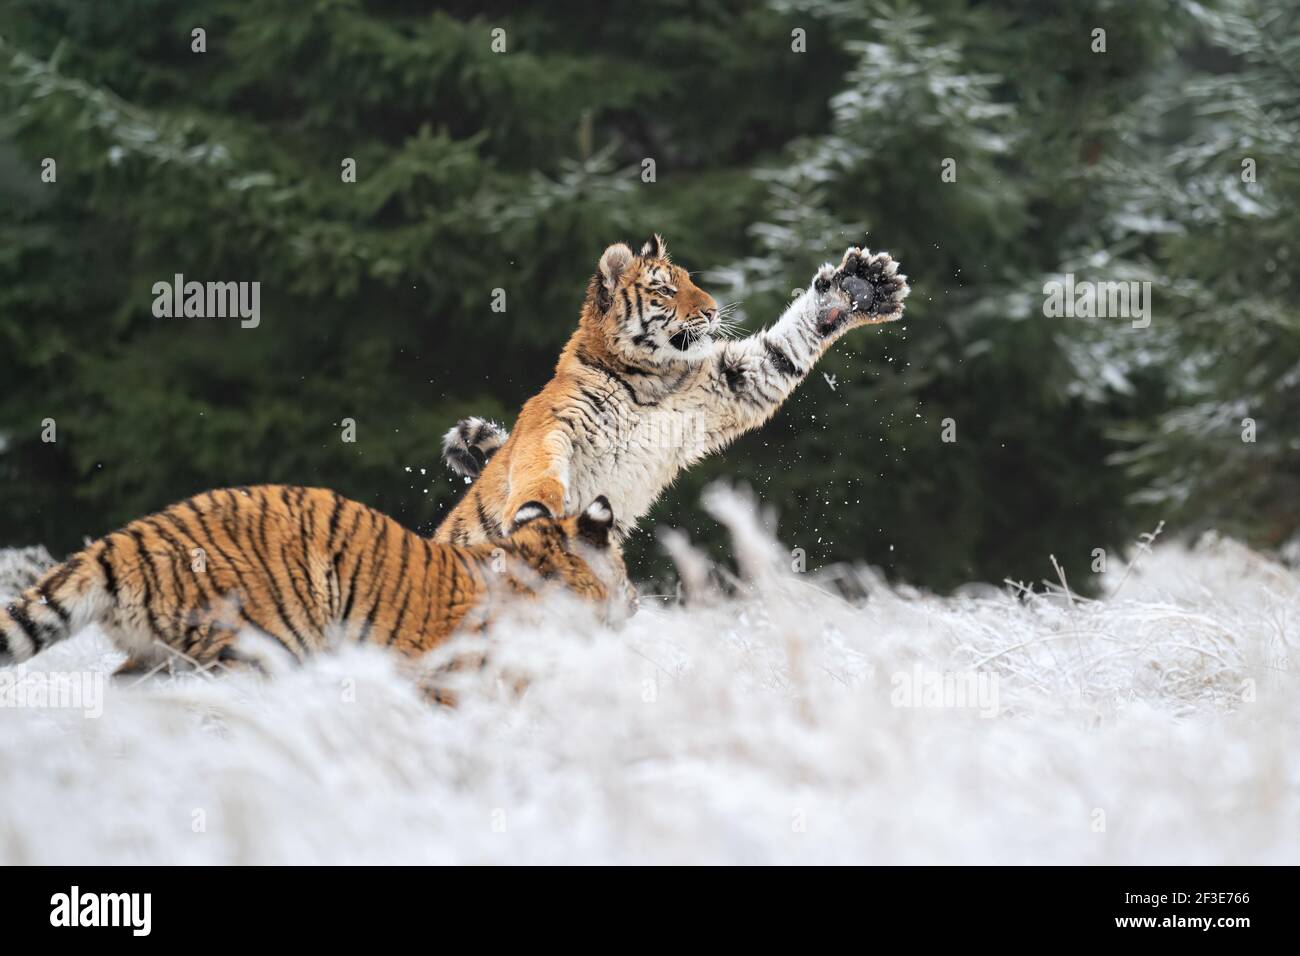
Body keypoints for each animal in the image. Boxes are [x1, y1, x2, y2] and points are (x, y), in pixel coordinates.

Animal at [434, 234, 904, 548]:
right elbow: (540, 468)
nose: (714, 310)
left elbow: (780, 350)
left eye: (690, 281)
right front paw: (536, 510)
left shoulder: (732, 382)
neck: (648, 379)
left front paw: (859, 288)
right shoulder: (552, 424)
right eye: (664, 288)